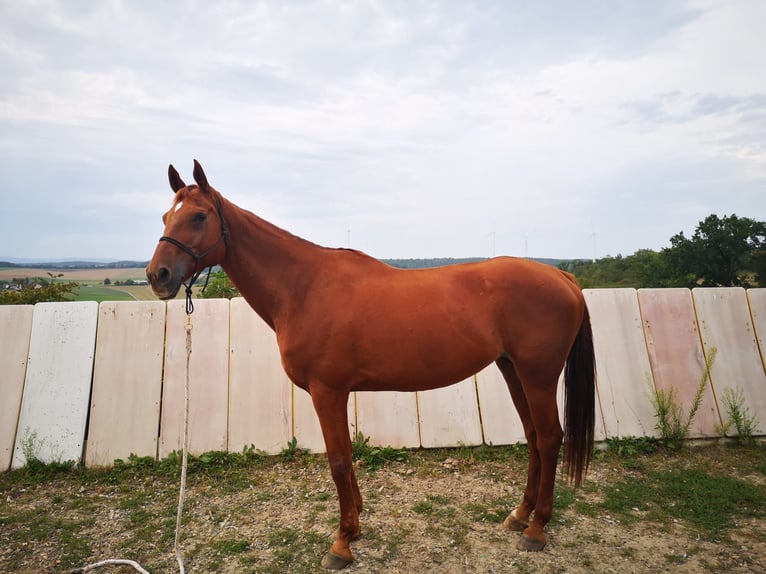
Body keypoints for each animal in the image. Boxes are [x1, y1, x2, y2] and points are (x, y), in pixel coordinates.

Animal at [146, 160, 600, 568]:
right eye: (167, 216)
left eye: (199, 215)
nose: (157, 275)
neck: (303, 287)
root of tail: (562, 277)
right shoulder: (337, 393)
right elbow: (346, 457)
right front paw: (356, 524)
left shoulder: (327, 391)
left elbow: (338, 461)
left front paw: (342, 542)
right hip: (512, 370)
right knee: (533, 437)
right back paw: (520, 515)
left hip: (538, 376)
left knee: (549, 438)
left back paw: (537, 529)